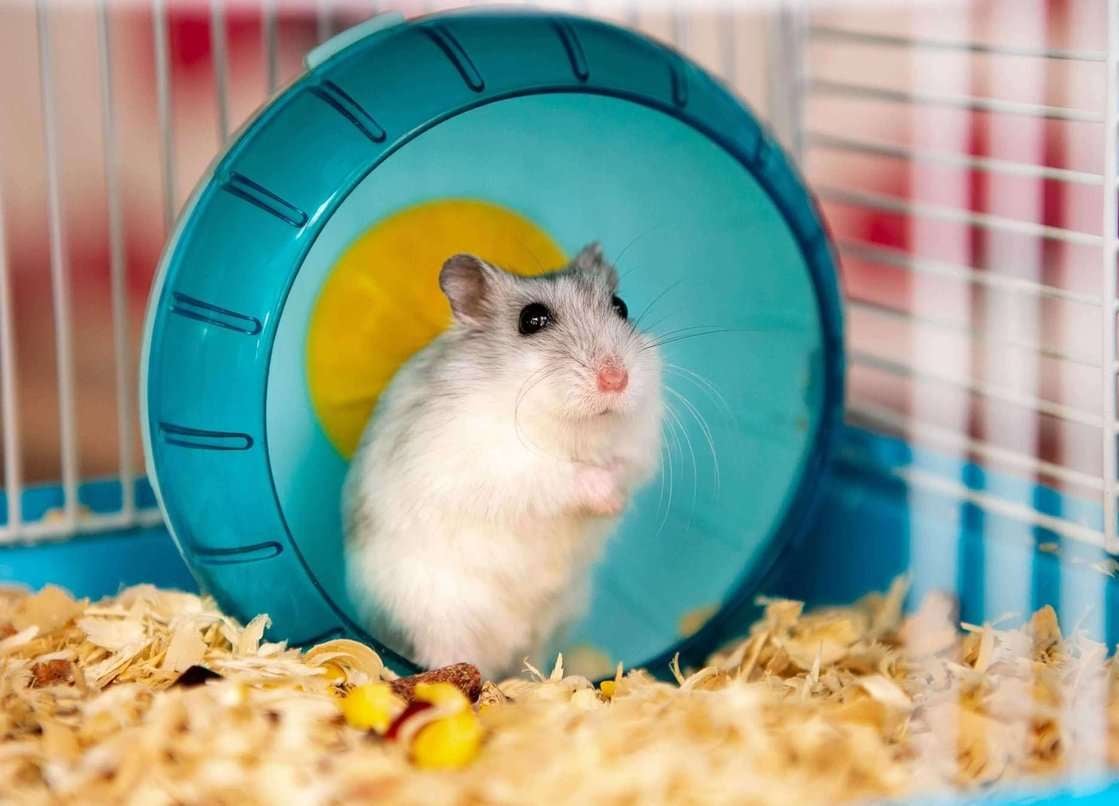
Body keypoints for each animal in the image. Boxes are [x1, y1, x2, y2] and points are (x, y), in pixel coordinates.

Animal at [342, 243, 663, 679]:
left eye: (621, 306)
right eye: (532, 320)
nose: (616, 380)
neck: (574, 424)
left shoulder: (639, 444)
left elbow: (625, 466)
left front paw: (617, 500)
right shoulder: (491, 461)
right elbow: (558, 475)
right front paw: (606, 495)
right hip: (433, 611)